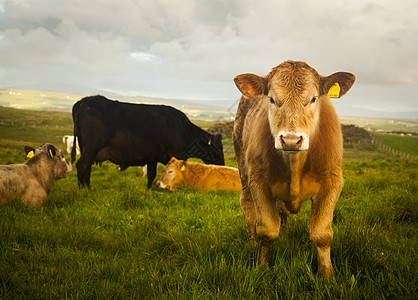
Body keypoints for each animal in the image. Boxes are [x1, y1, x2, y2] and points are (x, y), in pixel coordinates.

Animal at [71, 95, 225, 188]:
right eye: (217, 149)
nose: (223, 166)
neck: (184, 130)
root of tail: (83, 101)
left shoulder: (152, 158)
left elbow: (151, 175)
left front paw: (149, 190)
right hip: (91, 148)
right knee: (82, 165)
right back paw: (85, 189)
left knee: (86, 167)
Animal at [233, 61, 354, 278]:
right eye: (271, 99)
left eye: (314, 98)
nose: (290, 139)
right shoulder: (258, 181)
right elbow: (267, 230)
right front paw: (261, 267)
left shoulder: (332, 182)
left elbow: (321, 233)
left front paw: (326, 274)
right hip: (243, 170)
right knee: (248, 207)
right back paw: (250, 243)